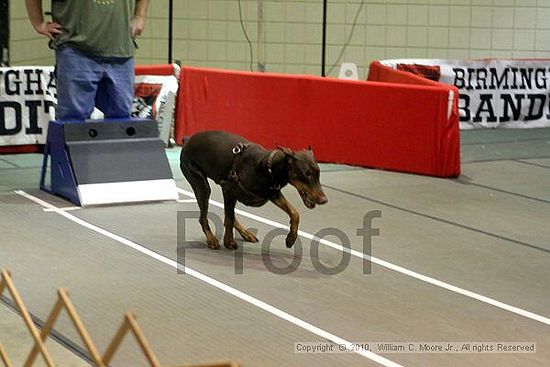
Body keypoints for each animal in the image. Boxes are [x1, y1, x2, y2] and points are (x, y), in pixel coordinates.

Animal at [180, 131, 328, 252]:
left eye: (318, 174)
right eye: (307, 174)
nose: (324, 200)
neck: (268, 167)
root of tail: (188, 140)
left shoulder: (273, 194)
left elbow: (295, 213)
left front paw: (291, 237)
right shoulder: (228, 188)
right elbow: (229, 218)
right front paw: (229, 241)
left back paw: (245, 233)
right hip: (201, 185)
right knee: (204, 217)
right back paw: (211, 239)